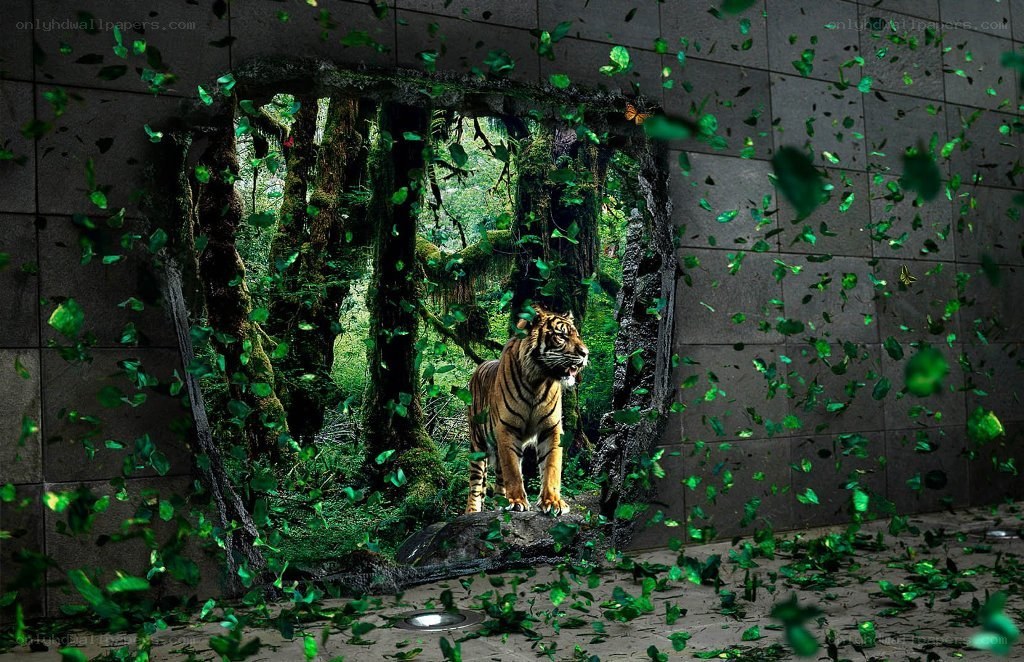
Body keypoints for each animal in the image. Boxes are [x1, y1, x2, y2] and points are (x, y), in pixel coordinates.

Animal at [465, 305, 589, 516]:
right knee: (476, 484)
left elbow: (551, 466)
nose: (585, 353)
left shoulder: (551, 428)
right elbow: (513, 470)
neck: (537, 380)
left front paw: (553, 502)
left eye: (577, 335)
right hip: (477, 444)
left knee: (499, 478)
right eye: (561, 336)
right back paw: (473, 511)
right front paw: (517, 501)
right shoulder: (507, 428)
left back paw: (500, 502)